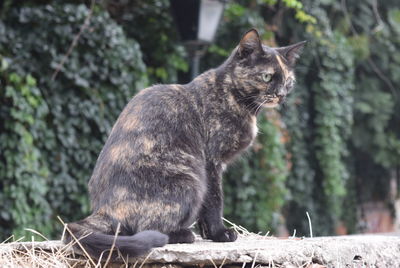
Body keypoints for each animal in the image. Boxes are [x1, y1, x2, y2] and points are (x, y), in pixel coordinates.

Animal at [65, 29, 304, 260]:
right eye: (267, 76)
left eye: (288, 81)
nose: (281, 94)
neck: (230, 94)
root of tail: (103, 210)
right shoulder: (211, 162)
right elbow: (215, 201)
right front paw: (220, 234)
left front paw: (209, 234)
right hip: (190, 180)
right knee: (143, 229)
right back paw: (183, 235)